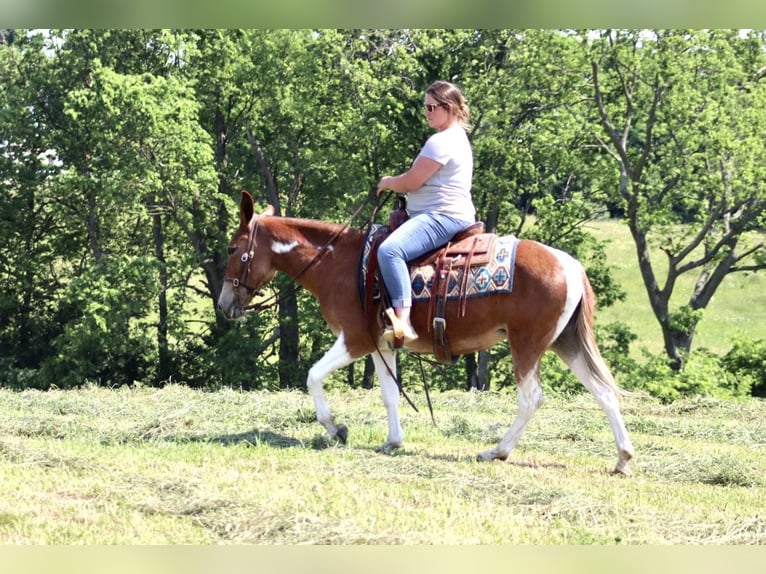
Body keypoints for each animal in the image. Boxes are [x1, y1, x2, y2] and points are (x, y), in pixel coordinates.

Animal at [216, 194, 636, 476]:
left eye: (234, 248)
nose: (223, 304)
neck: (338, 264)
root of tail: (570, 265)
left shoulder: (354, 338)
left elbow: (313, 375)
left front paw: (336, 428)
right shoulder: (380, 343)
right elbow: (389, 394)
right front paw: (393, 441)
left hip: (527, 344)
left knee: (532, 398)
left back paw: (496, 452)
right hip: (566, 343)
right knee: (604, 393)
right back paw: (623, 458)